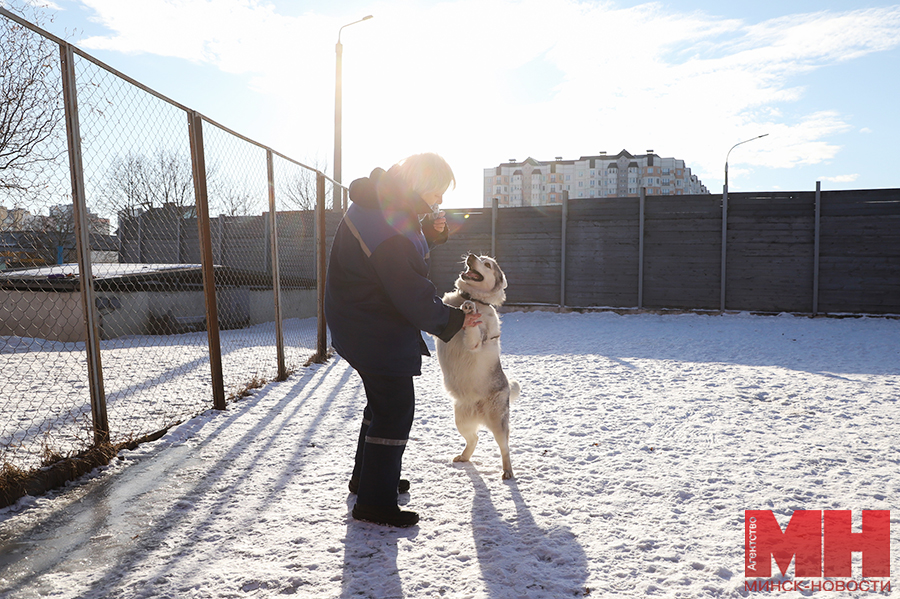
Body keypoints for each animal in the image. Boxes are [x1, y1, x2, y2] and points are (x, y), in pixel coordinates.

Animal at [436, 255, 520, 480]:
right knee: (474, 439)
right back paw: (464, 457)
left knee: (505, 448)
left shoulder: (476, 342)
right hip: (461, 420)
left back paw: (507, 471)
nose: (471, 256)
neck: (474, 298)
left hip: (498, 425)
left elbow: (473, 331)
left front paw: (470, 310)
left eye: (487, 264)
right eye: (480, 258)